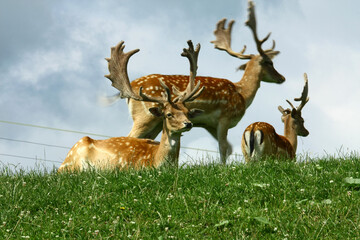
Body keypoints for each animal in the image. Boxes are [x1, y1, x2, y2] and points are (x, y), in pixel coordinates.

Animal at [105, 0, 286, 164]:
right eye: (270, 62)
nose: (282, 78)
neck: (242, 93)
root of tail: (131, 88)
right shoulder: (225, 117)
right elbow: (223, 147)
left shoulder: (210, 124)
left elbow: (228, 148)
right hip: (144, 117)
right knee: (129, 136)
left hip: (155, 121)